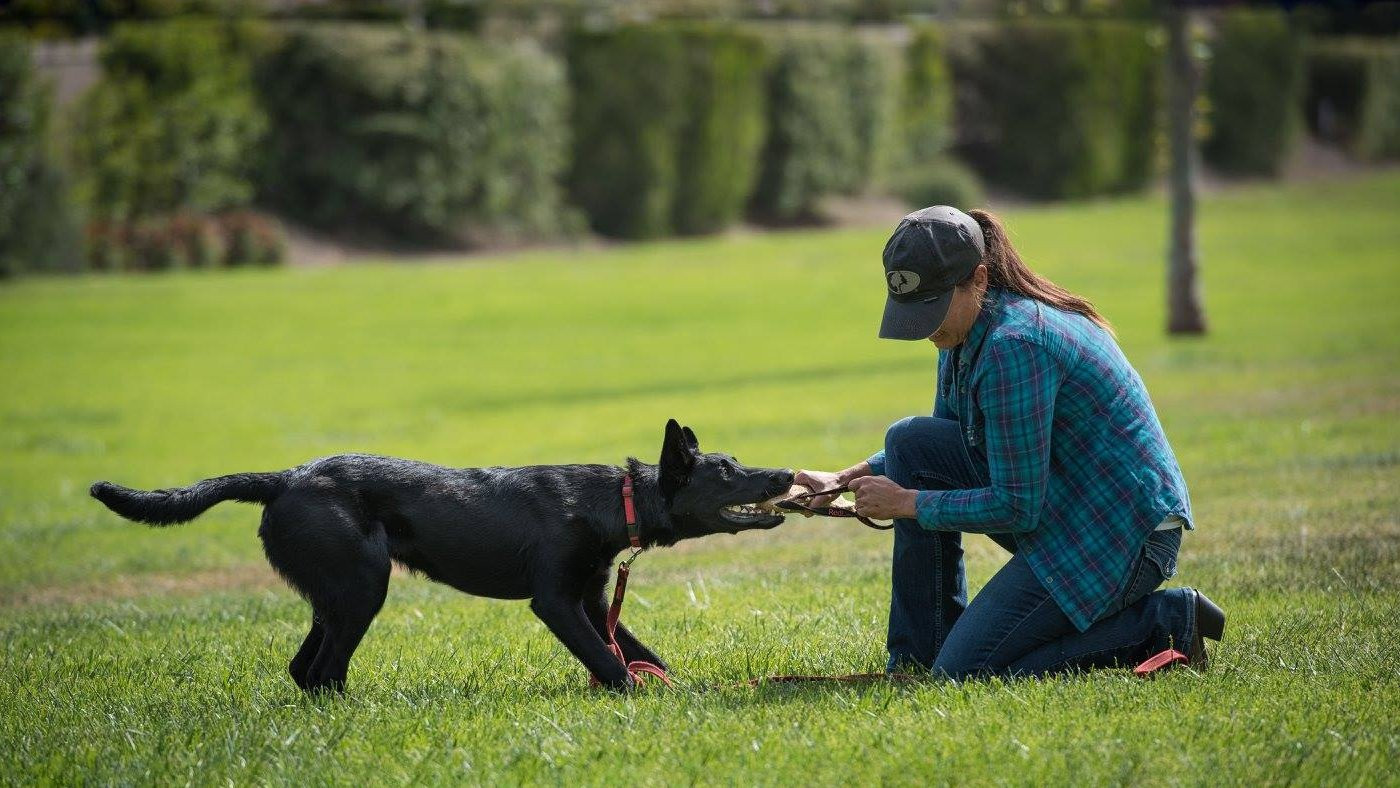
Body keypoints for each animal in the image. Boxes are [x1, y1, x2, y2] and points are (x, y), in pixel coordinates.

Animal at [90, 419, 789, 691]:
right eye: (727, 471)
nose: (784, 472)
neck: (612, 500)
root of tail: (284, 478)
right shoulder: (556, 602)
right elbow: (609, 662)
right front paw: (636, 697)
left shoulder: (591, 599)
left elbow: (639, 652)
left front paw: (678, 692)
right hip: (363, 589)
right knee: (325, 672)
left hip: (335, 595)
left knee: (305, 669)